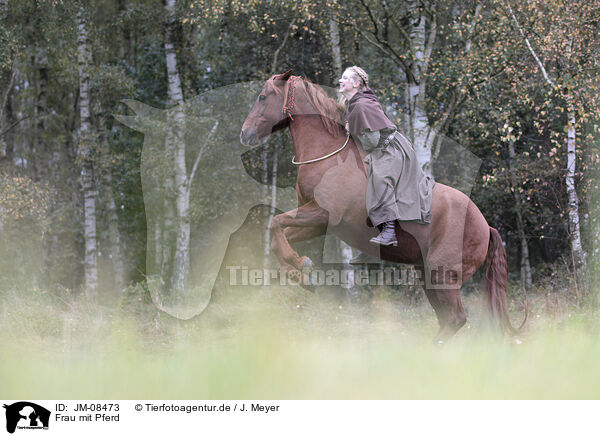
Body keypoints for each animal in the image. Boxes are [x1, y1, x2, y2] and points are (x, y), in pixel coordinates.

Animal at [239, 70, 524, 342]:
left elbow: (275, 224)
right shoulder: (316, 222)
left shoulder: (321, 213)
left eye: (262, 97)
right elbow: (278, 238)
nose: (245, 133)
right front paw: (302, 272)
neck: (328, 155)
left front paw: (301, 267)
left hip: (443, 274)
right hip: (428, 275)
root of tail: (486, 226)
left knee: (455, 318)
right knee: (447, 320)